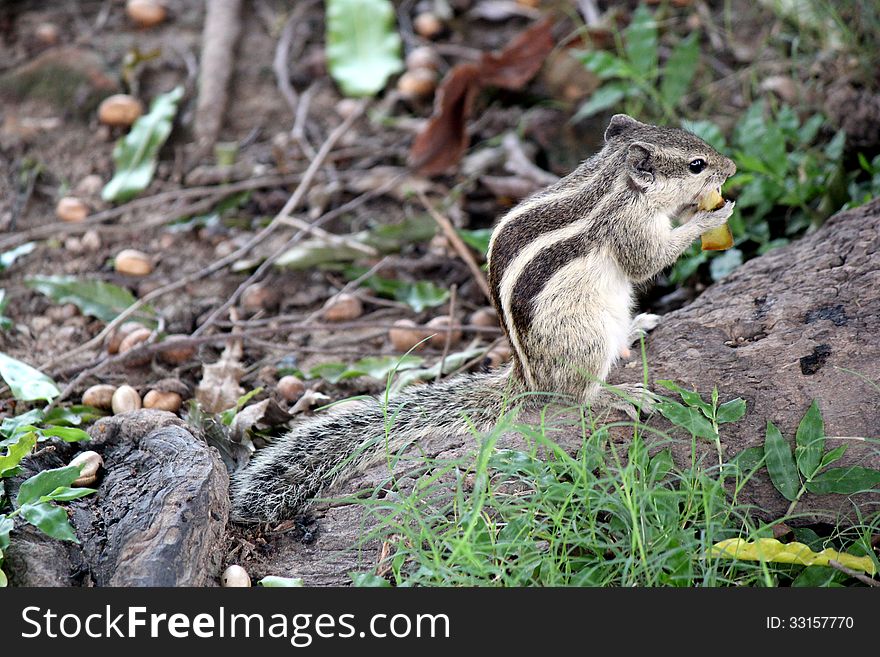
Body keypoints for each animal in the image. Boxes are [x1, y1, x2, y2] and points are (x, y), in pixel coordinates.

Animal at [229, 114, 736, 524]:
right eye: (696, 164)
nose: (730, 168)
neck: (613, 180)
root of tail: (528, 379)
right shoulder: (628, 229)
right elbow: (647, 262)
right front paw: (707, 218)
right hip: (584, 338)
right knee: (574, 395)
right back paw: (619, 394)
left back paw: (635, 329)